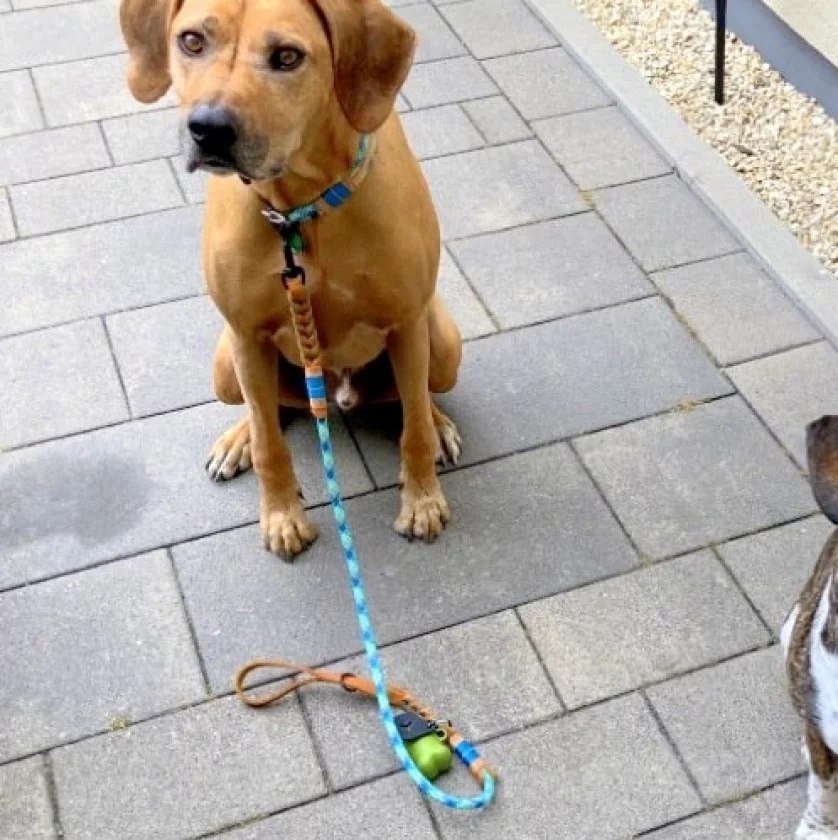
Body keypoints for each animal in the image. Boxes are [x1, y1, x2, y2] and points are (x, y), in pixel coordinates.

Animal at [120, 0, 462, 556]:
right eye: (192, 41)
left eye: (287, 56)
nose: (208, 128)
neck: (301, 207)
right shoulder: (247, 334)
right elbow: (269, 443)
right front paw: (282, 515)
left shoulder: (408, 323)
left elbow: (412, 429)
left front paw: (423, 502)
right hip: (225, 363)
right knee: (267, 411)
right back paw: (237, 438)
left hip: (444, 343)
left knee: (418, 397)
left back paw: (439, 423)